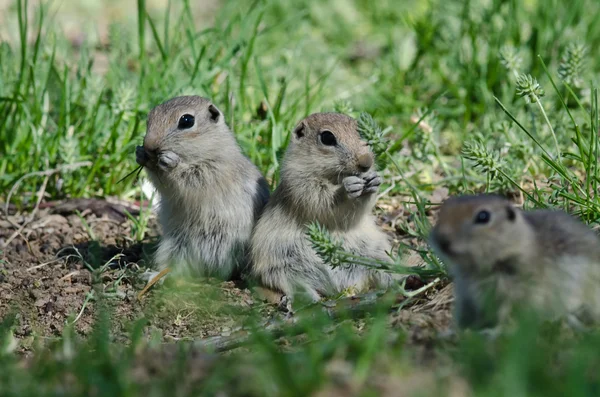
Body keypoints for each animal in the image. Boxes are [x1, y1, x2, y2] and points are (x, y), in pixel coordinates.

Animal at [136, 95, 270, 278]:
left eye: (186, 120)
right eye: (150, 117)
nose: (149, 145)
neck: (211, 149)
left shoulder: (210, 173)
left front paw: (170, 161)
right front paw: (140, 154)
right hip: (175, 244)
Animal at [248, 111, 394, 300]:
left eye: (362, 133)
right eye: (327, 138)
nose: (366, 162)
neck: (334, 177)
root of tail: (338, 288)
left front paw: (374, 180)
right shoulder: (299, 181)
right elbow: (320, 198)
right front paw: (347, 188)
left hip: (378, 255)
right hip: (280, 266)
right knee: (295, 284)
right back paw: (310, 300)